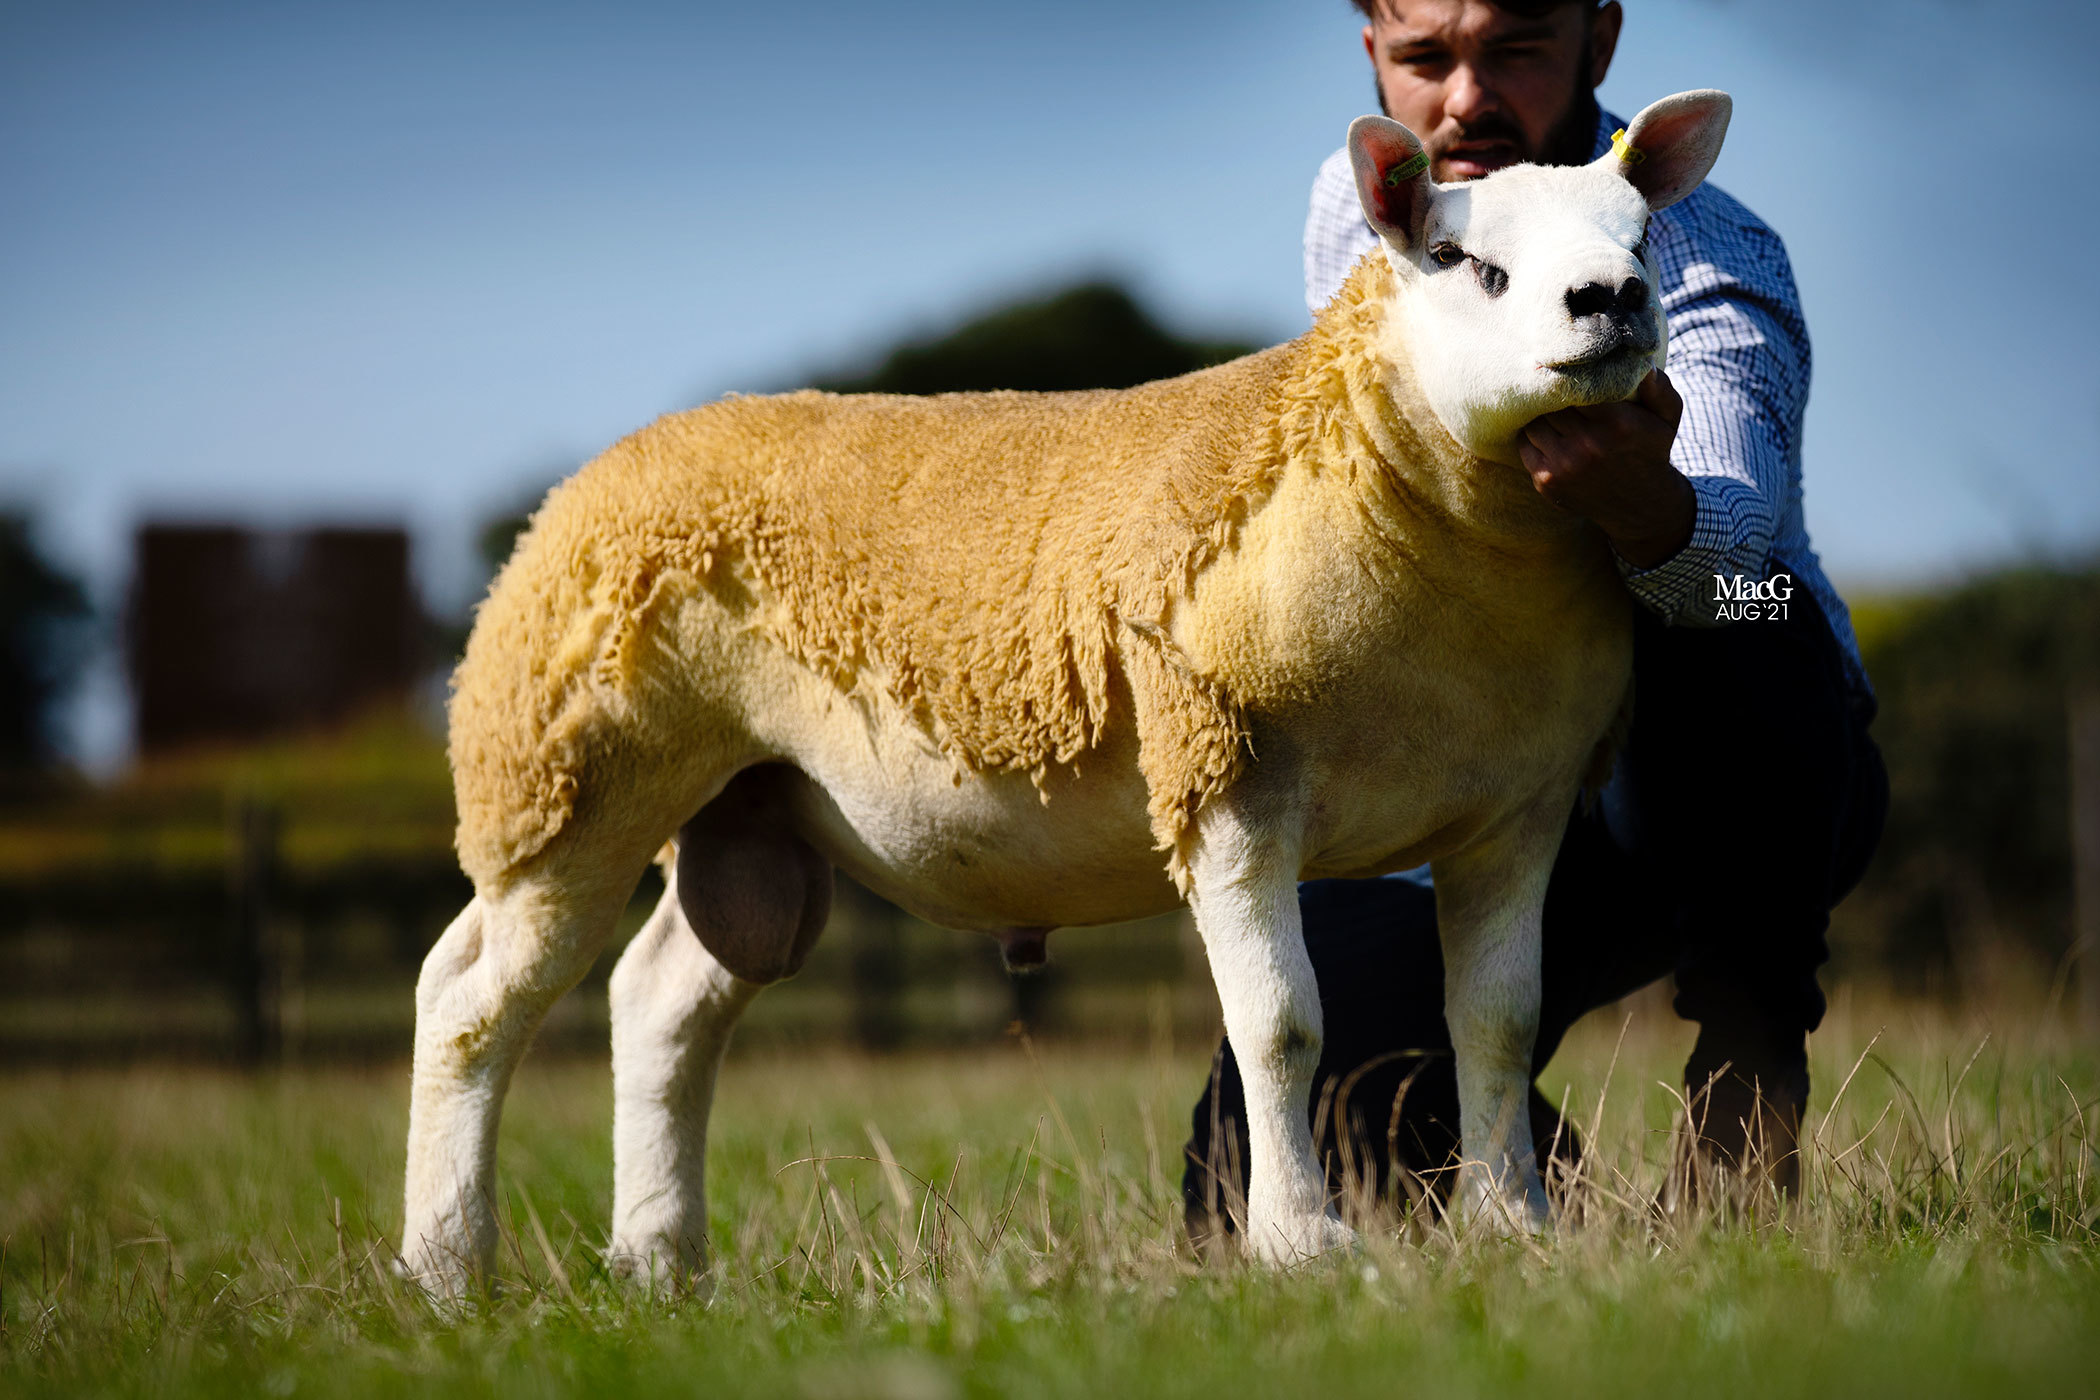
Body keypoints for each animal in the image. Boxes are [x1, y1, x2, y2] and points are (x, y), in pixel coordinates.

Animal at [401, 90, 1730, 1292]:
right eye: (1463, 262)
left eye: (1643, 235)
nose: (1610, 300)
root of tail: (599, 470)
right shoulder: (1227, 769)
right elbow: (1283, 1021)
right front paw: (1301, 1242)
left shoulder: (1518, 807)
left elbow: (1496, 1017)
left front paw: (1514, 1227)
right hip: (562, 772)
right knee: (468, 998)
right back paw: (446, 1266)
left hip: (750, 806)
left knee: (660, 1001)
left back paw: (658, 1260)